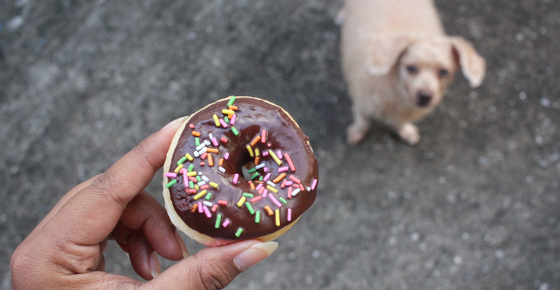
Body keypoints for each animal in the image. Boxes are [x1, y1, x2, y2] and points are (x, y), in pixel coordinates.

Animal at [342, 0, 486, 145]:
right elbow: (362, 122)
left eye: (444, 71)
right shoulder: (361, 104)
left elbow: (401, 122)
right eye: (410, 68)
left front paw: (405, 131)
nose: (425, 96)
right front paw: (357, 133)